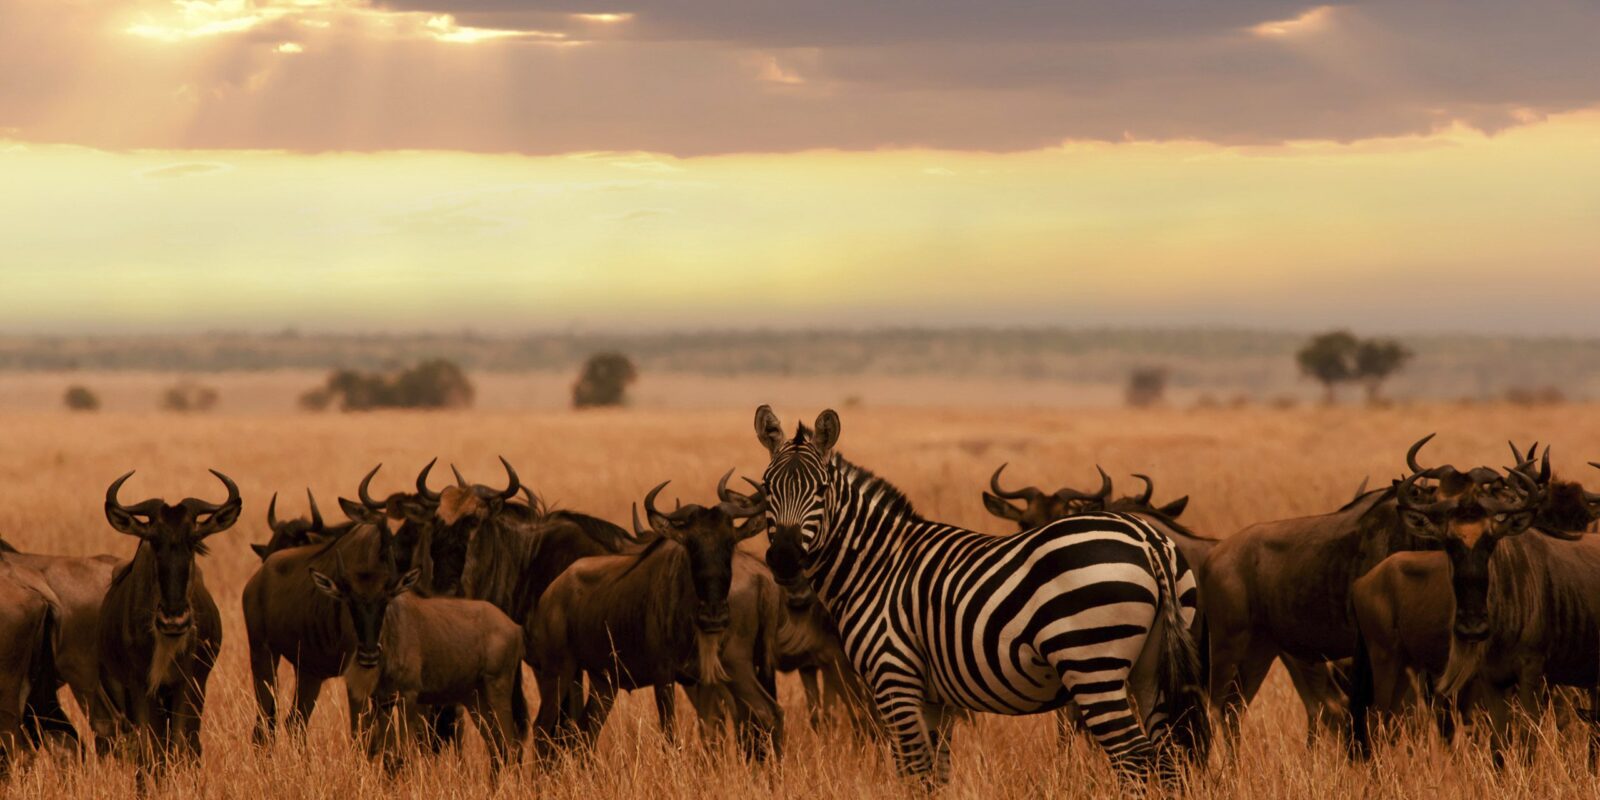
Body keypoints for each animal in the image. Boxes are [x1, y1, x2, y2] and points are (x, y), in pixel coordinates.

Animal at [98, 467, 236, 774]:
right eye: (153, 540)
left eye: (194, 541)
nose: (174, 620)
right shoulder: (141, 688)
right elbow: (149, 753)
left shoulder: (189, 685)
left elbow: (183, 748)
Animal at [313, 540, 531, 771]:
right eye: (351, 601)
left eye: (384, 599)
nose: (369, 656)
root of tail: (515, 628)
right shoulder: (383, 702)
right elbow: (389, 757)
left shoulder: (409, 698)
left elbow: (404, 755)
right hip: (475, 699)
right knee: (497, 748)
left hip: (497, 691)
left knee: (511, 746)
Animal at [531, 480, 780, 761]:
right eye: (691, 544)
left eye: (730, 543)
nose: (713, 616)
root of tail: (551, 593)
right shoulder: (664, 677)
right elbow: (671, 737)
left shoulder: (703, 681)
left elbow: (711, 734)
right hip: (559, 671)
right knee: (543, 728)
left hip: (602, 682)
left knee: (584, 732)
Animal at [755, 406, 1203, 787]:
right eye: (766, 487)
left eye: (820, 489)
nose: (784, 558)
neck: (877, 564)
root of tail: (1147, 539)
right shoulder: (934, 696)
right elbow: (935, 774)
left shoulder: (894, 675)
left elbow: (912, 772)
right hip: (1150, 668)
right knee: (1167, 758)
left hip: (1093, 665)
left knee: (1134, 758)